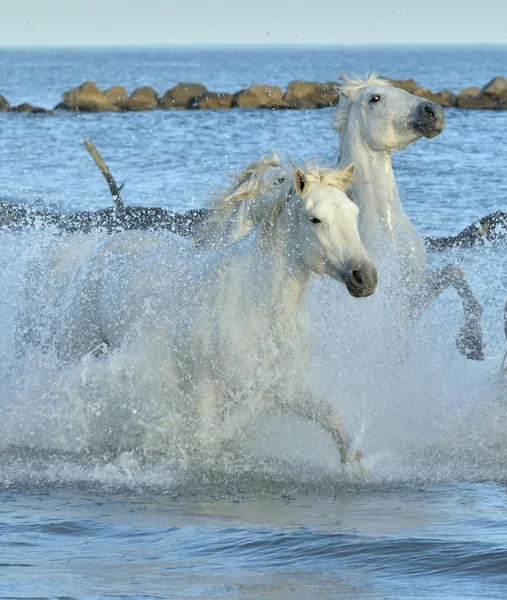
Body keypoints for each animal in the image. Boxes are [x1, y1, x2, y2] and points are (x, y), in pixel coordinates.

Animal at [19, 163, 378, 464]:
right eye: (315, 219)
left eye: (354, 212)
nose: (365, 277)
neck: (257, 305)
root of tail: (100, 249)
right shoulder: (205, 392)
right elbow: (204, 444)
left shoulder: (283, 388)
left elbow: (333, 421)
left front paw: (354, 466)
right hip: (80, 350)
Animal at [336, 72, 486, 358]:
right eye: (375, 98)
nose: (434, 111)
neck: (387, 231)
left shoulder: (407, 299)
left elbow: (454, 271)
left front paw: (472, 341)